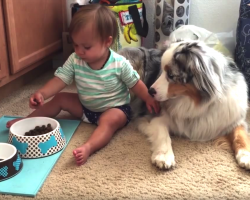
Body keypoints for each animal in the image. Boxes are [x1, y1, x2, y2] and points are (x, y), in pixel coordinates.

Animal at [118, 40, 250, 170]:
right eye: (161, 70)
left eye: (171, 75)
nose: (149, 91)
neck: (192, 102)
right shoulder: (152, 116)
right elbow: (163, 133)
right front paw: (164, 156)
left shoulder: (231, 118)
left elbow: (240, 134)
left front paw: (246, 155)